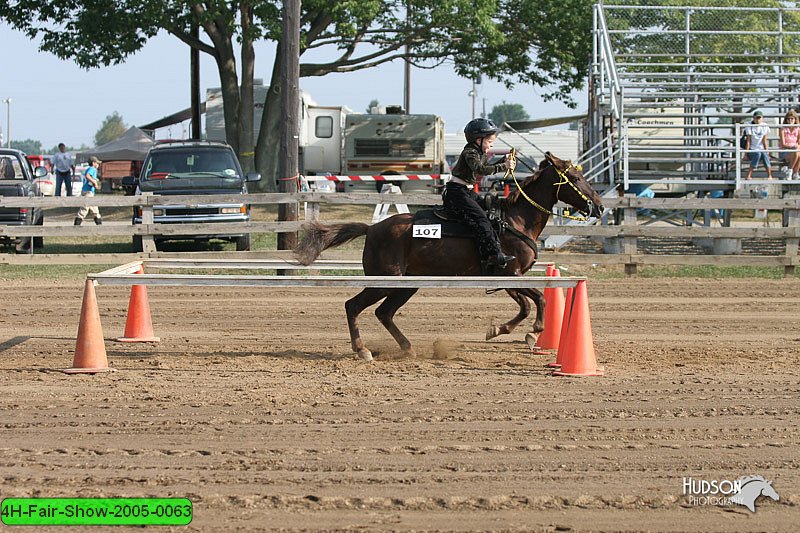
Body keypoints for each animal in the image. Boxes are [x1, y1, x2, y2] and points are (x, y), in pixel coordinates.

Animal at [296, 152, 604, 360]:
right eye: (576, 178)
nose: (599, 207)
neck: (514, 220)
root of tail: (372, 228)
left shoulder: (506, 278)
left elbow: (526, 305)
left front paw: (498, 330)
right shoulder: (511, 273)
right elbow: (538, 299)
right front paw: (532, 333)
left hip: (406, 285)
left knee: (384, 313)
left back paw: (408, 348)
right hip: (384, 281)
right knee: (353, 306)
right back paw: (362, 350)